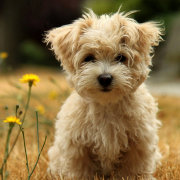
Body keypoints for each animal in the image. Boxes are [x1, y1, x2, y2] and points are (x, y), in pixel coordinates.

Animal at [45, 9, 163, 180]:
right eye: (89, 58)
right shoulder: (77, 145)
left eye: (120, 57)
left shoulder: (139, 143)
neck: (107, 104)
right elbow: (80, 171)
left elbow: (133, 170)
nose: (105, 78)